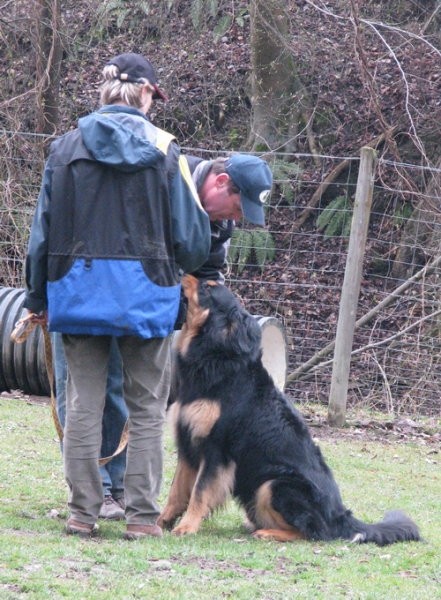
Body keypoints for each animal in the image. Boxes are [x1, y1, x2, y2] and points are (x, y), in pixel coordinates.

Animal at [158, 274, 420, 548]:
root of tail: (340, 517)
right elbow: (176, 492)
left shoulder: (216, 451)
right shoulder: (188, 445)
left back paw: (268, 533)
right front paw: (160, 522)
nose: (184, 275)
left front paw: (187, 527)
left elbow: (199, 493)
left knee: (314, 532)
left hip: (274, 484)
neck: (215, 358)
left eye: (208, 287)